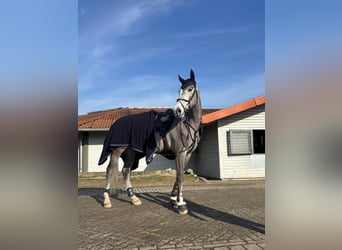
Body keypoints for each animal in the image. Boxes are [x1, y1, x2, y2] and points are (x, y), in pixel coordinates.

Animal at [99, 69, 200, 214]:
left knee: (125, 170)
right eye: (179, 90)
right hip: (118, 150)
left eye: (190, 89)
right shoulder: (180, 153)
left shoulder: (187, 154)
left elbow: (178, 176)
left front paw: (173, 200)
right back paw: (107, 200)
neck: (187, 126)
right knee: (109, 170)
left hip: (131, 152)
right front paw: (181, 204)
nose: (178, 110)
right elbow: (180, 177)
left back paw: (134, 198)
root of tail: (116, 123)